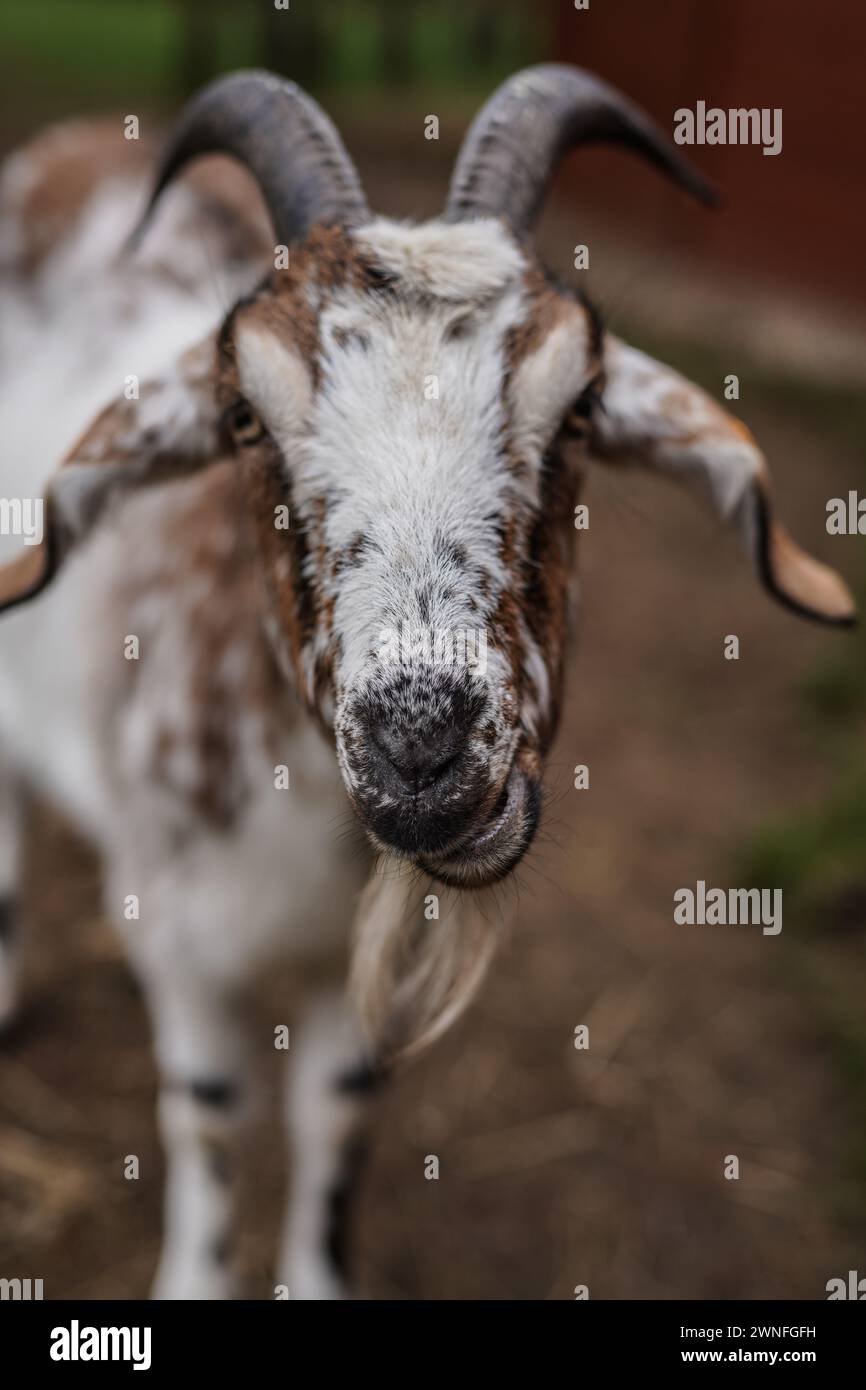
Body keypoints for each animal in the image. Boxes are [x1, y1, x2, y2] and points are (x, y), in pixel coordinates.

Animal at [0, 67, 856, 1301]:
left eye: (582, 403)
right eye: (243, 416)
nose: (422, 751)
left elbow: (333, 1114)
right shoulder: (179, 932)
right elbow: (210, 1117)